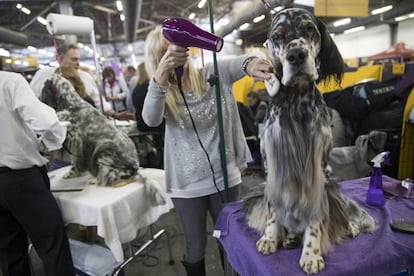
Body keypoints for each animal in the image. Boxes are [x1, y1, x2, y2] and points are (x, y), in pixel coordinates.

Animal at [244, 8, 376, 274]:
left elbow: (316, 217)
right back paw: (289, 236)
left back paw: (349, 226)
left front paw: (311, 253)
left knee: (339, 211)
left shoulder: (318, 167)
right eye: (278, 36)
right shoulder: (272, 163)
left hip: (332, 185)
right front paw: (270, 238)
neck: (296, 100)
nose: (296, 55)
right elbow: (274, 209)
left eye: (309, 29)